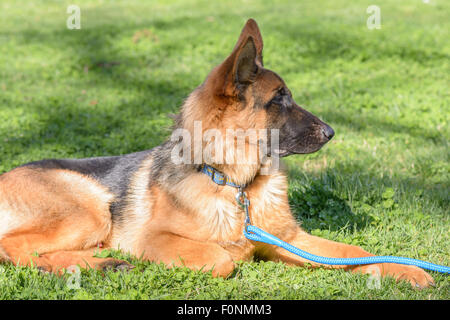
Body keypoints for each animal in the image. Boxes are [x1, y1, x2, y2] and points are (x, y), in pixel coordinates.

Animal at [0, 18, 432, 288]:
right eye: (280, 99)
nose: (331, 132)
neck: (235, 183)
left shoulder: (291, 239)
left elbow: (355, 252)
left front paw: (404, 270)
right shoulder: (152, 238)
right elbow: (222, 258)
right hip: (91, 205)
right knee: (16, 248)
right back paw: (99, 264)